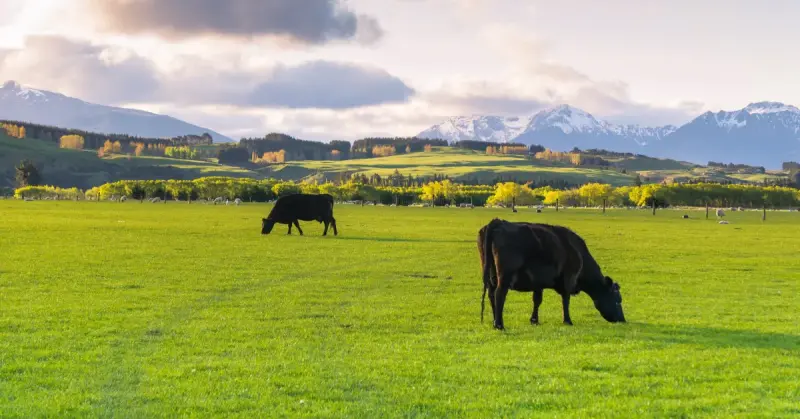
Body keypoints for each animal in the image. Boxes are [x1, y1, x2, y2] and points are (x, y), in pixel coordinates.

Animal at [478, 220, 628, 332]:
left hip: (491, 275)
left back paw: (494, 321)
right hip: (504, 276)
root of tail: (498, 222)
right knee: (499, 295)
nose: (623, 320)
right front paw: (568, 320)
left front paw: (534, 321)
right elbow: (566, 300)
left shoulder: (538, 282)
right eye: (617, 300)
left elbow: (537, 300)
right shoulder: (569, 279)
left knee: (491, 295)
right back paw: (499, 325)